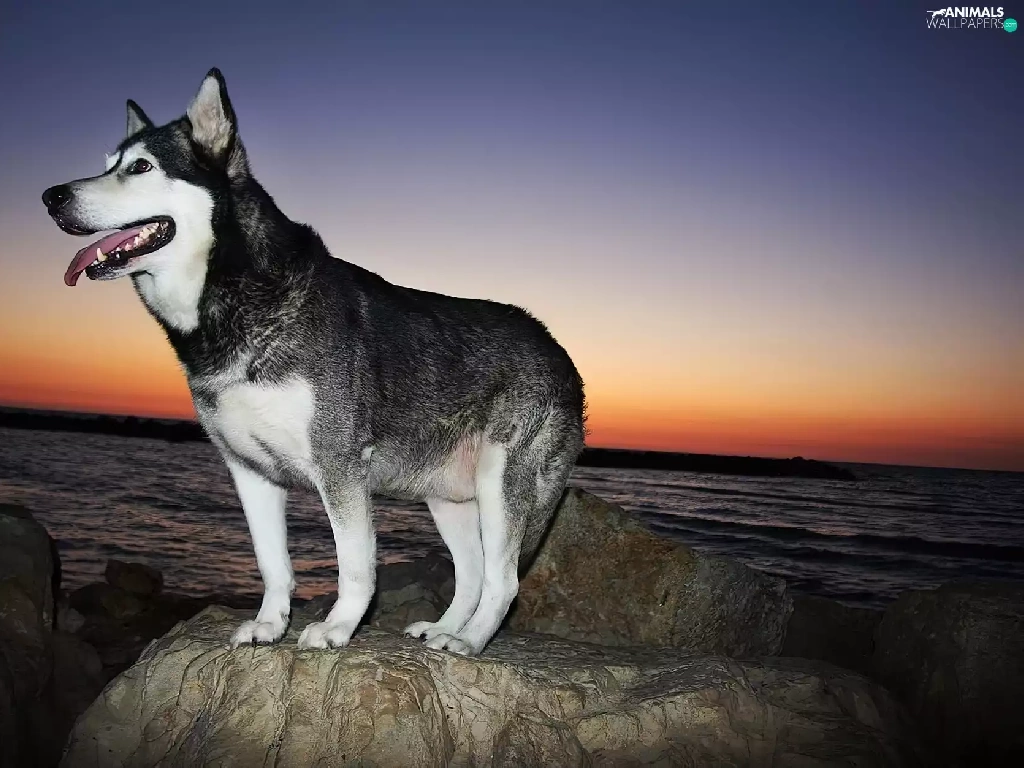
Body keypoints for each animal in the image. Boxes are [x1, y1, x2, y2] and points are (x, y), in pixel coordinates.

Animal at [42, 69, 586, 656]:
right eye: (108, 163)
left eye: (141, 167)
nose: (51, 196)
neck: (241, 301)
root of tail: (558, 349)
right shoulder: (250, 472)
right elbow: (273, 564)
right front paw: (269, 624)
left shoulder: (338, 466)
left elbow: (355, 566)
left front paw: (339, 628)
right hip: (448, 498)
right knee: (471, 573)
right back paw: (444, 630)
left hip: (501, 486)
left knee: (502, 580)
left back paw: (469, 643)